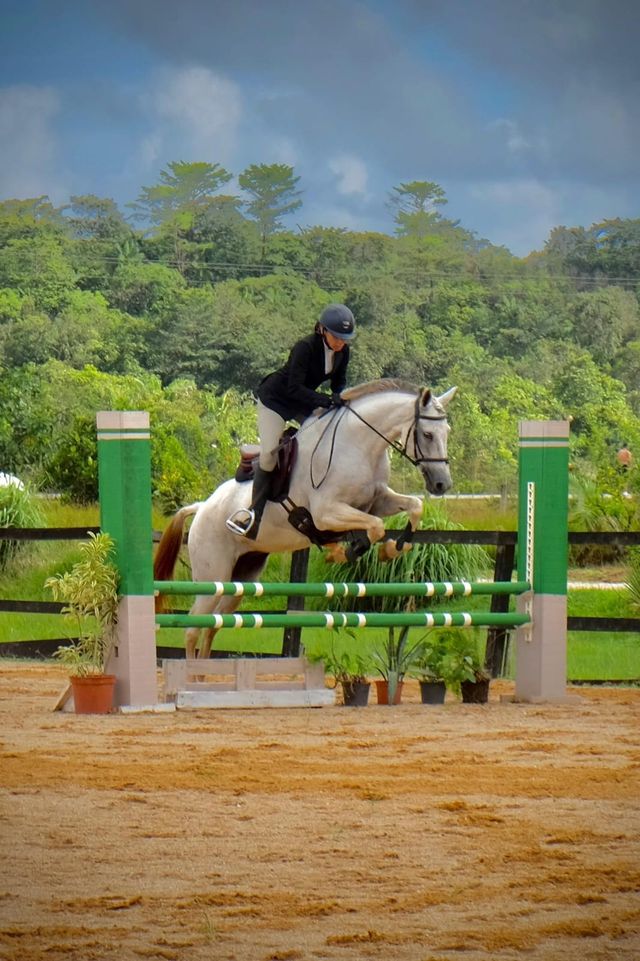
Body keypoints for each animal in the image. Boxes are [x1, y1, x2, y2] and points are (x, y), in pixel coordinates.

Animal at [154, 378, 456, 658]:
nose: (442, 484)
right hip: (213, 575)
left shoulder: (377, 500)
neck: (358, 445)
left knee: (212, 626)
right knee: (193, 627)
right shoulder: (325, 513)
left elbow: (414, 507)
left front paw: (393, 548)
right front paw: (344, 551)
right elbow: (375, 526)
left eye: (447, 432)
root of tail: (202, 506)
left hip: (240, 579)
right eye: (427, 434)